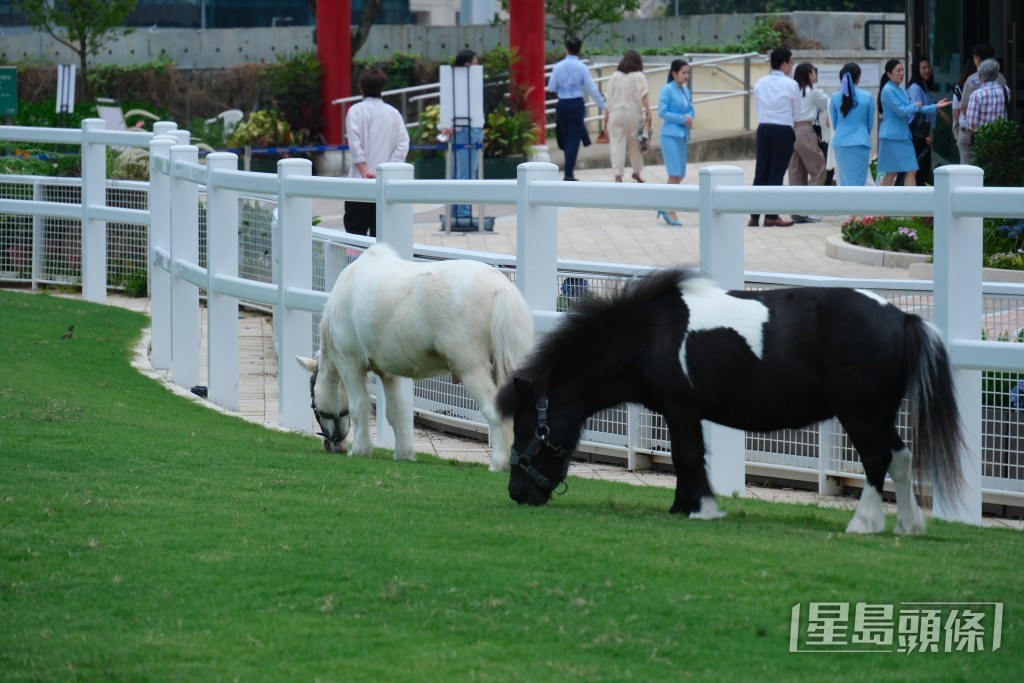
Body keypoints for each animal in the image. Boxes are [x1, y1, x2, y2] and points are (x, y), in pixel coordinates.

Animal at [297, 243, 534, 472]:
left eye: (313, 404)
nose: (332, 444)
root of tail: (499, 285)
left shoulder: (350, 363)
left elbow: (359, 407)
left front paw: (359, 450)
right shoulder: (388, 373)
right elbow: (396, 412)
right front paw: (404, 454)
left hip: (471, 369)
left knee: (495, 412)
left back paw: (499, 463)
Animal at [495, 268, 965, 535]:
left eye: (530, 427)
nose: (517, 492)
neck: (650, 335)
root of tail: (902, 317)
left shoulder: (681, 409)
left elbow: (687, 457)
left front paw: (702, 508)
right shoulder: (680, 412)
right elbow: (686, 459)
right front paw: (681, 506)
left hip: (859, 414)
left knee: (876, 459)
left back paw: (863, 523)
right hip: (881, 413)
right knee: (901, 458)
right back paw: (907, 525)